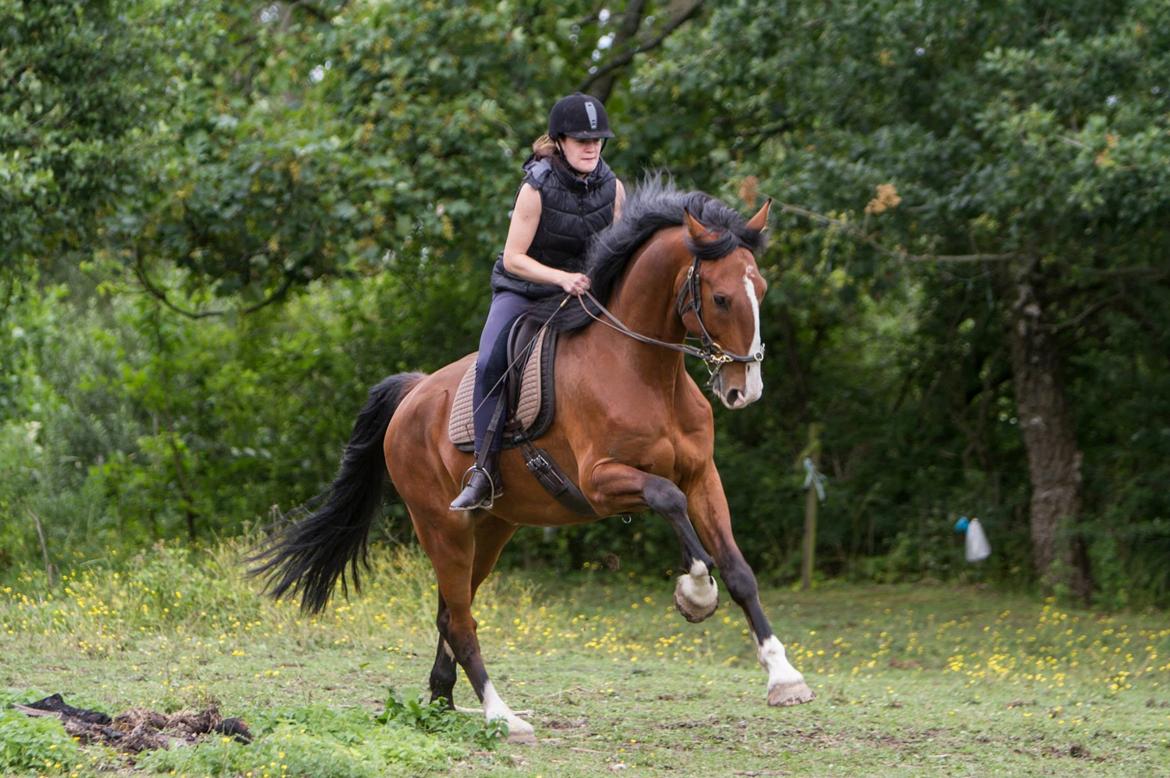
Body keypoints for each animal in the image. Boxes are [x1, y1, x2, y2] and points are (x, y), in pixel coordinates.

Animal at [253, 178, 814, 744]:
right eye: (720, 298)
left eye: (761, 289)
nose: (745, 390)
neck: (645, 371)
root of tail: (414, 393)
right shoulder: (601, 482)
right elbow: (667, 497)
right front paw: (695, 593)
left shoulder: (704, 477)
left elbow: (739, 571)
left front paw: (784, 677)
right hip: (441, 527)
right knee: (460, 620)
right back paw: (502, 716)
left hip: (491, 529)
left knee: (450, 612)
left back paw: (442, 703)